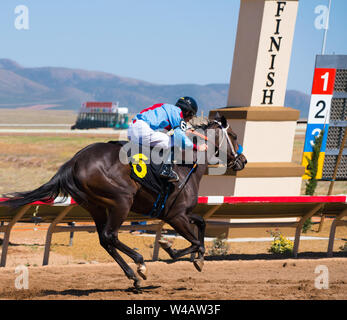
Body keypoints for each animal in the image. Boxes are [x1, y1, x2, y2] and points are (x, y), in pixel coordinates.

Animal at [0, 115, 246, 290]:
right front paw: (171, 248)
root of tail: (74, 162)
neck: (186, 164)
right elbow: (194, 242)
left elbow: (202, 224)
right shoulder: (175, 215)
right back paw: (140, 264)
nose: (242, 161)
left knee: (105, 239)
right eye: (234, 135)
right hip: (121, 201)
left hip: (96, 207)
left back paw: (133, 276)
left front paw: (197, 258)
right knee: (111, 235)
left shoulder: (180, 213)